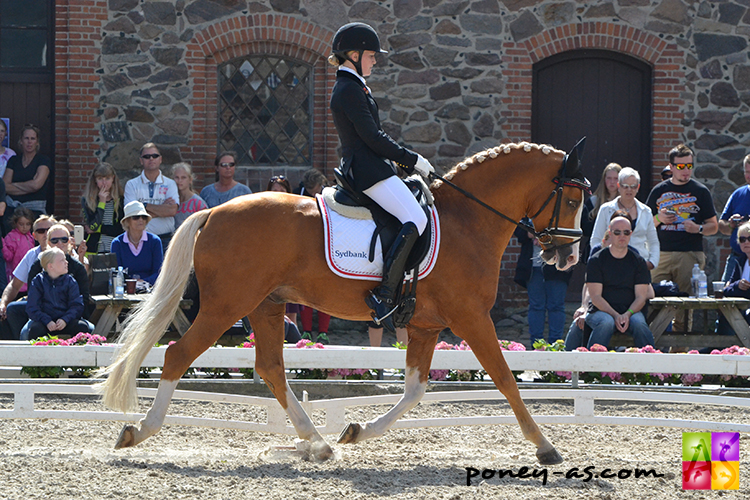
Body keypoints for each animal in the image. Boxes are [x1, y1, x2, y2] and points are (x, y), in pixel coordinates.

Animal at [97, 141, 588, 464]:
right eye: (573, 198)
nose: (568, 258)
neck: (468, 221)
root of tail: (214, 211)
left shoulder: (425, 325)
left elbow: (415, 389)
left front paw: (357, 431)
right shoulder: (471, 318)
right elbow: (505, 379)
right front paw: (545, 446)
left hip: (266, 305)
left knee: (271, 368)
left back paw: (317, 442)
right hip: (226, 305)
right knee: (179, 354)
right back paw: (139, 431)